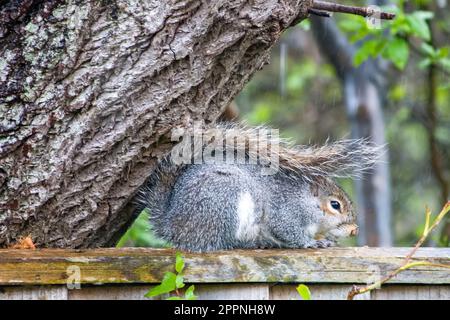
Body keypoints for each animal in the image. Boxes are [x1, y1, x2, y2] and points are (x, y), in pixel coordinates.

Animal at [134, 122, 380, 252]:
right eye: (335, 205)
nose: (354, 229)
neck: (305, 201)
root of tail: (172, 223)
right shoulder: (285, 213)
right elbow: (288, 232)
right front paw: (311, 243)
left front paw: (326, 239)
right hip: (224, 203)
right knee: (223, 242)